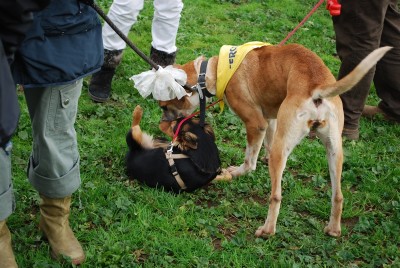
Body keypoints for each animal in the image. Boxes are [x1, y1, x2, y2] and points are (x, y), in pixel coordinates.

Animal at [157, 44, 390, 239]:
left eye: (164, 106)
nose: (162, 123)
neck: (215, 70)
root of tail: (317, 87)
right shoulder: (271, 120)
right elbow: (266, 145)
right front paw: (263, 158)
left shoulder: (256, 123)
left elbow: (250, 161)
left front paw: (236, 172)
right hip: (334, 150)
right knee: (338, 195)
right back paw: (333, 229)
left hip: (283, 150)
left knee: (276, 195)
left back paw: (267, 230)